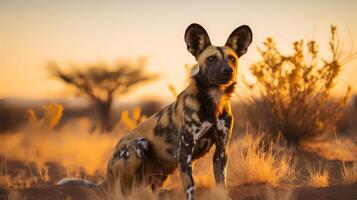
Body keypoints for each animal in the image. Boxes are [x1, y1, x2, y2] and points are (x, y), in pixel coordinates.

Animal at [107, 23, 252, 198]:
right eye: (211, 59)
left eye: (232, 59)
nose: (227, 70)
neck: (214, 101)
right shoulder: (184, 154)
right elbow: (191, 188)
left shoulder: (221, 152)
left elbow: (221, 186)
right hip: (138, 146)